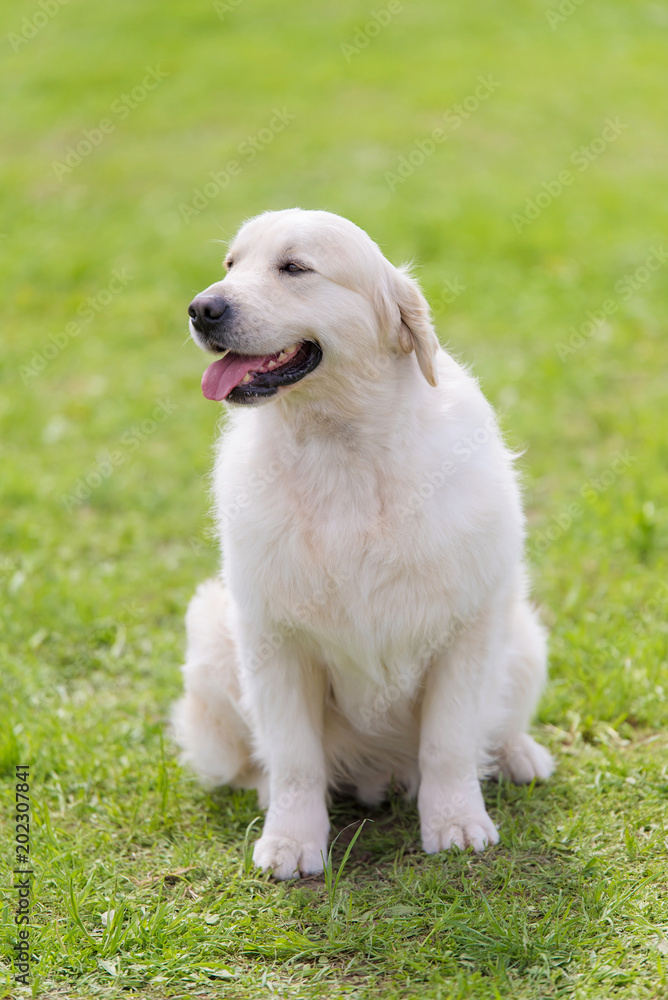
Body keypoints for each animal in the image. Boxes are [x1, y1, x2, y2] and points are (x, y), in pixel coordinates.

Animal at [174, 207, 552, 880]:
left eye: (295, 267)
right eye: (231, 265)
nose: (201, 309)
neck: (340, 451)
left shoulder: (469, 626)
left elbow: (449, 744)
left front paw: (456, 823)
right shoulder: (273, 637)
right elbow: (295, 758)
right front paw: (292, 841)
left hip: (525, 637)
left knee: (496, 726)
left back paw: (519, 755)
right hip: (213, 637)